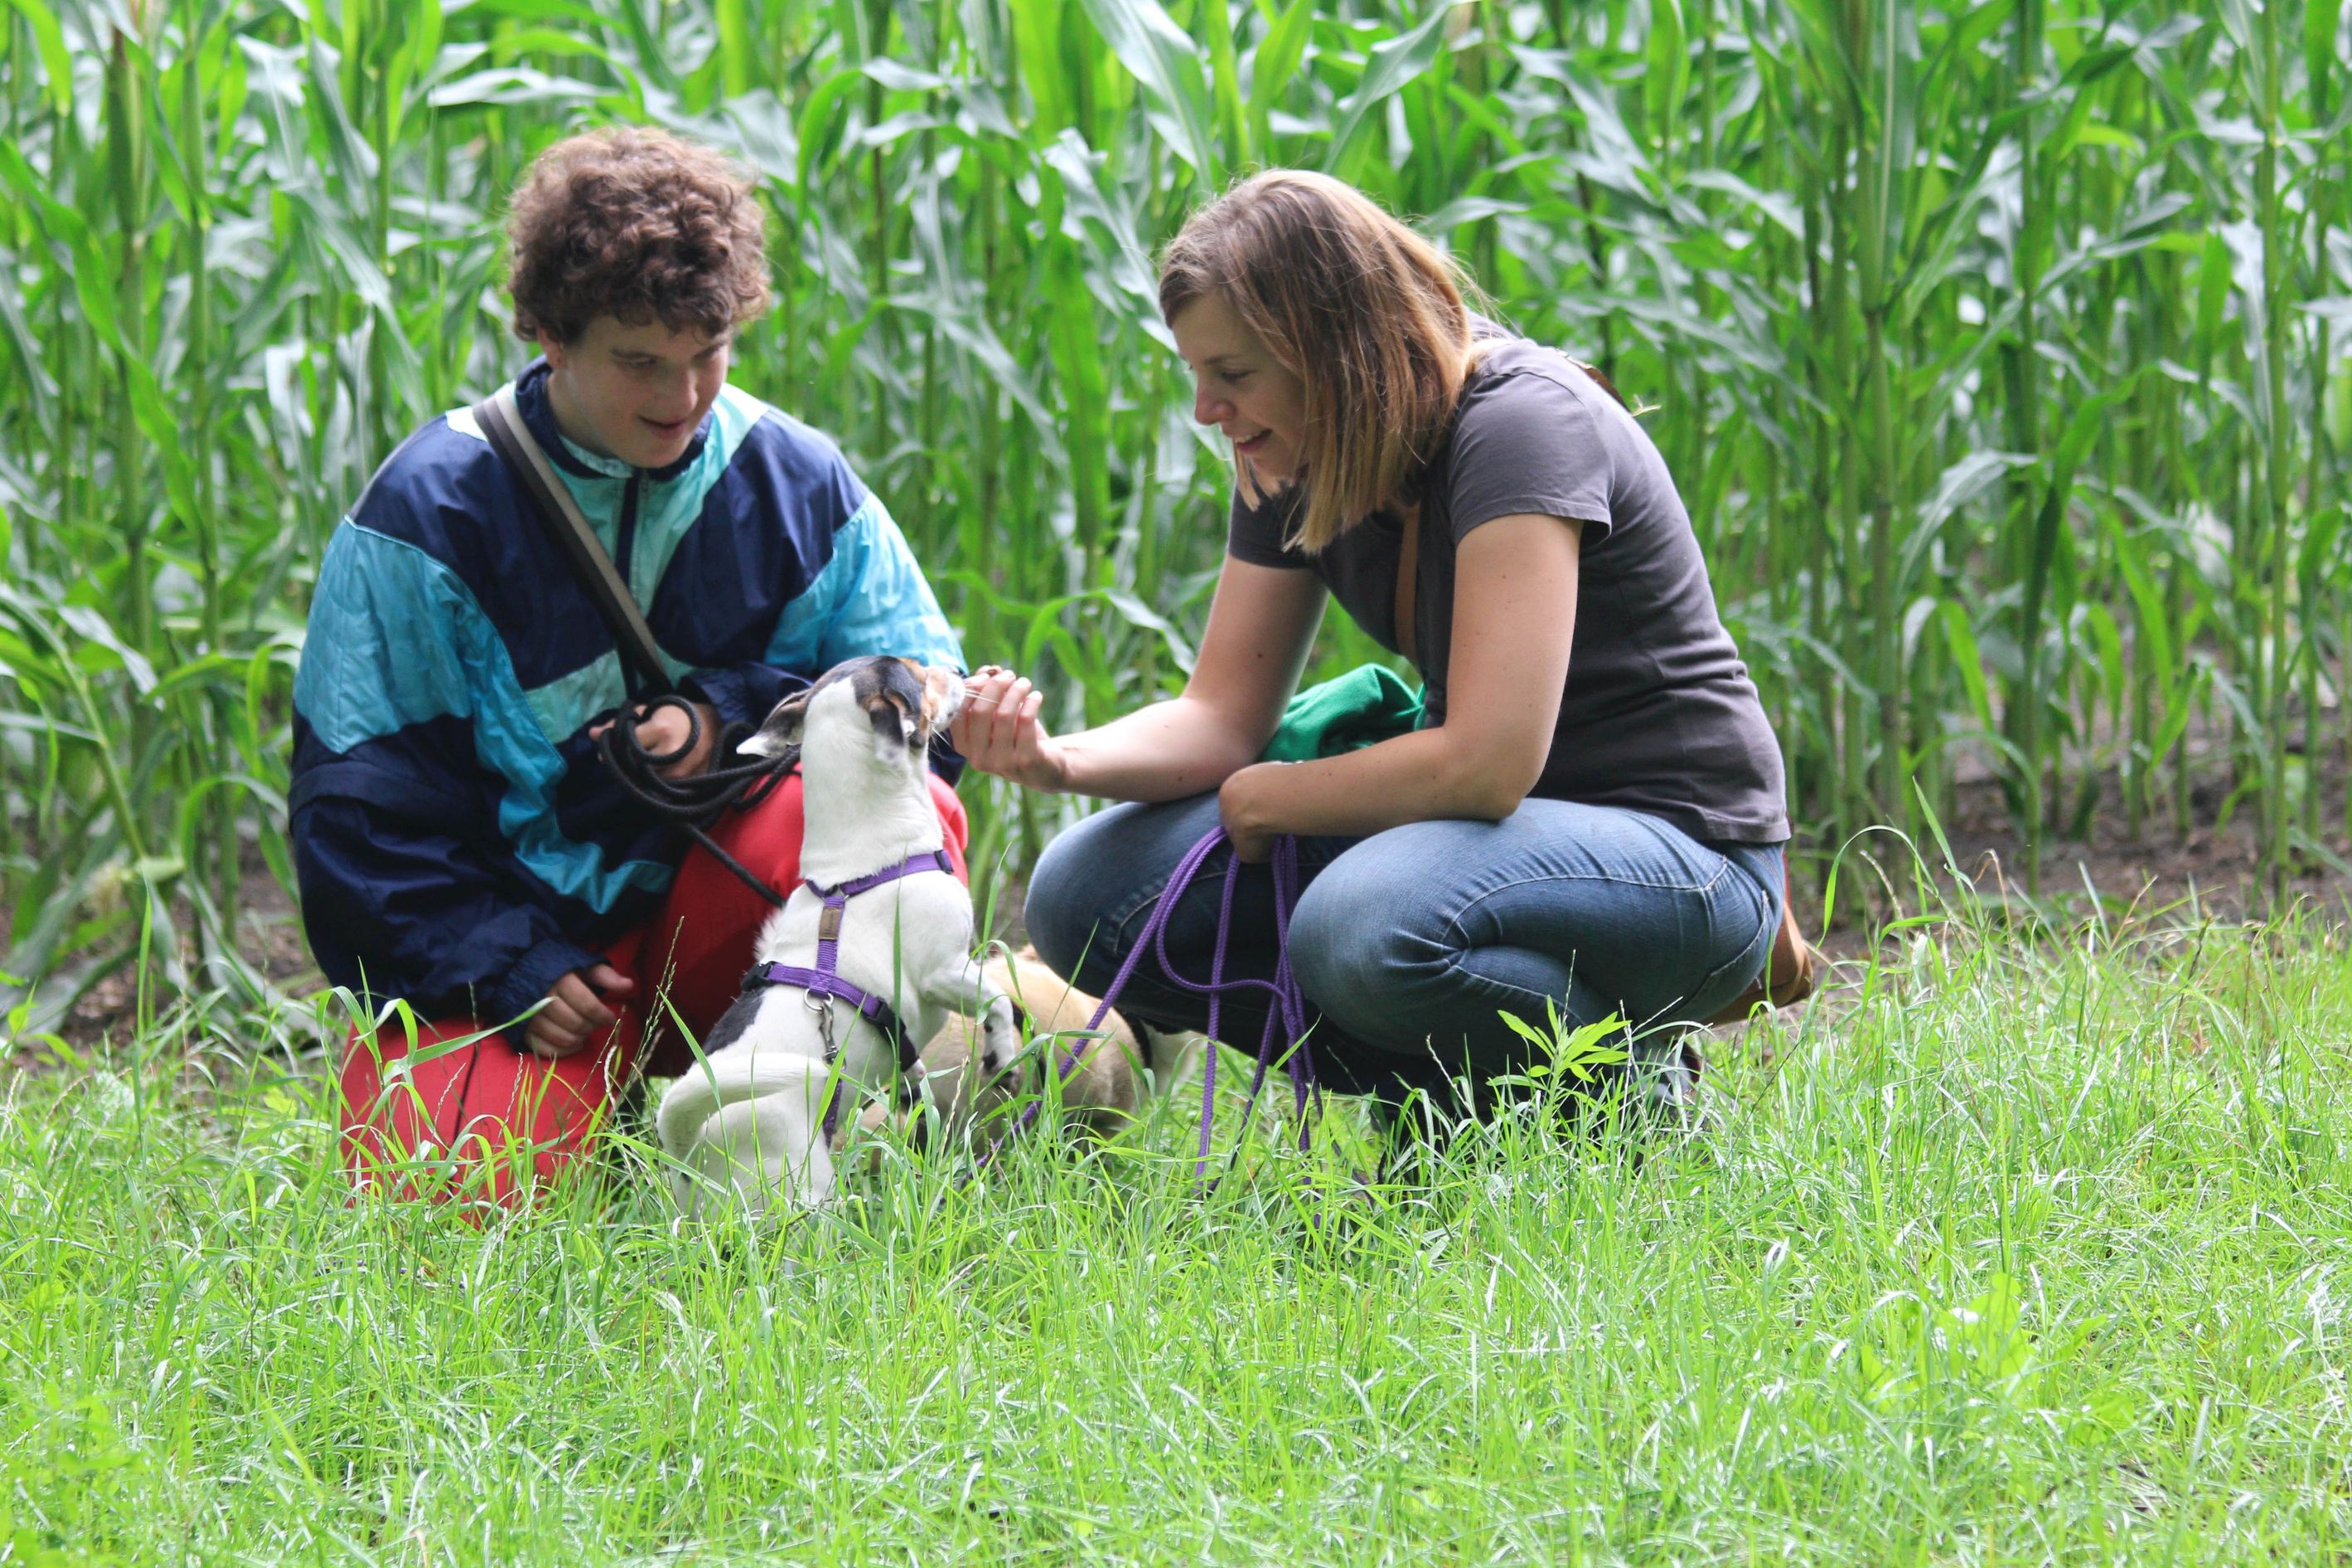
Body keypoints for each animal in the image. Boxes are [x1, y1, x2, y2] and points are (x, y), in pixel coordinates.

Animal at [658, 658, 1015, 1222]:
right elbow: (998, 1000)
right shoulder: (946, 970)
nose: (961, 670)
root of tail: (689, 1151)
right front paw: (1002, 1053)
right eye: (918, 672)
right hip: (804, 1187)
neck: (860, 867)